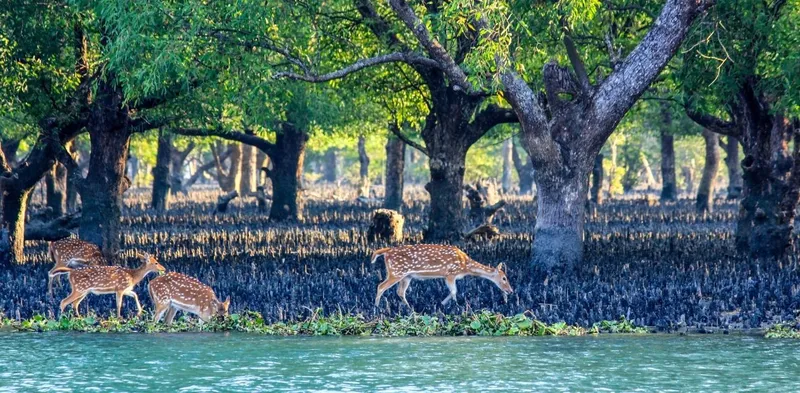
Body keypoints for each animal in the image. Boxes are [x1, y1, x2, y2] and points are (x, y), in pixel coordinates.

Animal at [372, 243, 516, 308]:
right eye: (504, 278)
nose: (510, 291)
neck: (465, 266)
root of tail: (386, 252)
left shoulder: (449, 276)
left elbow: (452, 291)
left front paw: (442, 304)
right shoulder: (450, 273)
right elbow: (454, 291)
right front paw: (457, 306)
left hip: (406, 276)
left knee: (400, 291)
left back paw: (410, 308)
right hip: (396, 272)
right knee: (381, 286)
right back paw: (377, 307)